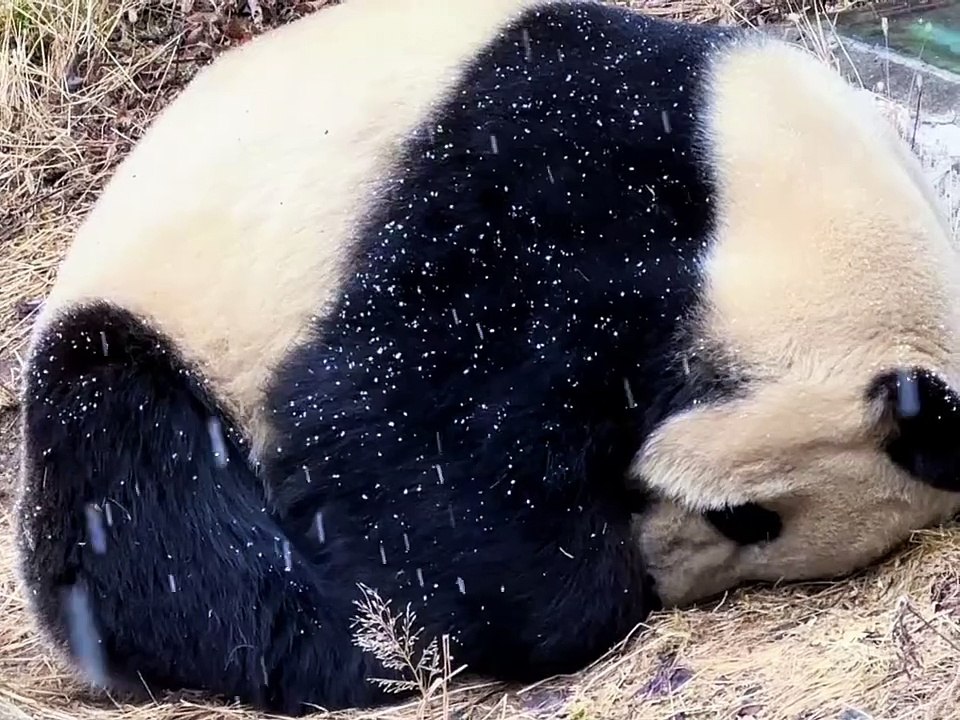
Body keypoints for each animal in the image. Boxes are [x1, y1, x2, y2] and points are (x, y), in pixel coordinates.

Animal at [13, 0, 960, 715]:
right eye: (749, 518)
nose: (662, 574)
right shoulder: (550, 161)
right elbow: (408, 416)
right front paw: (545, 598)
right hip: (150, 317)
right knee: (146, 491)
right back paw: (343, 647)